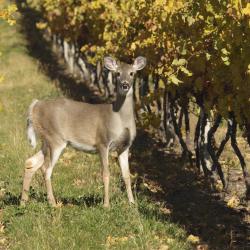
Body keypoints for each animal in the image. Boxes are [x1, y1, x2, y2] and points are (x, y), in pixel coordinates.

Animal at [21, 56, 146, 207]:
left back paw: (23, 202)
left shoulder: (125, 147)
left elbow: (127, 176)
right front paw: (106, 205)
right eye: (117, 74)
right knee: (46, 169)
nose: (125, 85)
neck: (118, 117)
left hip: (47, 139)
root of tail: (35, 106)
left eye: (132, 73)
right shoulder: (103, 142)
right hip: (55, 138)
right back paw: (53, 203)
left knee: (31, 162)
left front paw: (132, 204)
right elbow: (105, 173)